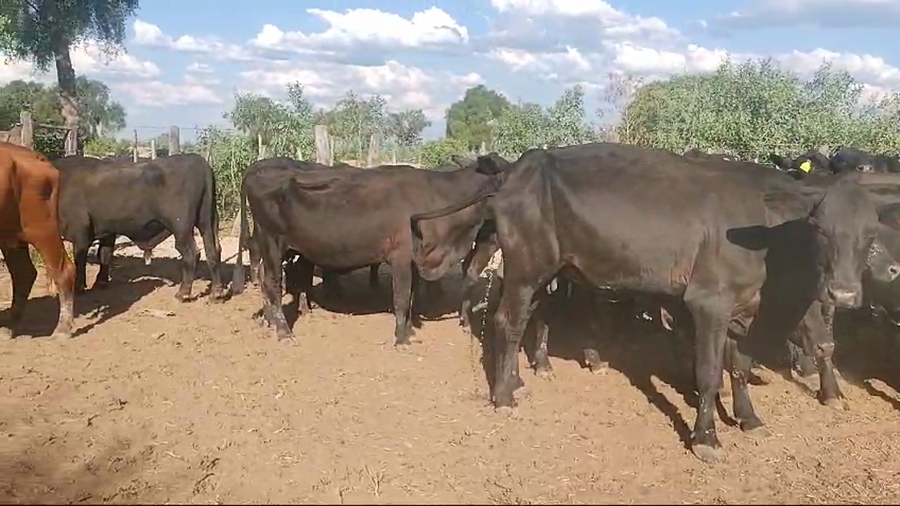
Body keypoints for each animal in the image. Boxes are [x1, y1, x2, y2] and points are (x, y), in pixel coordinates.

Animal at [0, 142, 76, 339]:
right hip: (10, 233)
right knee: (23, 273)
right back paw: (9, 326)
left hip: (41, 228)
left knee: (63, 270)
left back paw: (63, 328)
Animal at [52, 154, 224, 302]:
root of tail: (198, 160)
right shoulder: (107, 231)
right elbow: (104, 255)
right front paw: (100, 282)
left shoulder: (80, 233)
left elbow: (79, 261)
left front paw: (79, 287)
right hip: (207, 221)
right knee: (213, 250)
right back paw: (217, 292)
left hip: (181, 228)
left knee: (191, 253)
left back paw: (183, 293)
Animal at [246, 158, 505, 346]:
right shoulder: (400, 257)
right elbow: (401, 298)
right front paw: (401, 339)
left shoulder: (413, 261)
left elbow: (411, 297)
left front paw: (408, 331)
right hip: (272, 243)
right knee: (272, 284)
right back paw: (283, 331)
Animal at [410, 142, 900, 463]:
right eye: (819, 228)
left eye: (870, 234)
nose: (844, 293)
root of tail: (517, 170)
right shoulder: (708, 302)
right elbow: (709, 373)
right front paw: (706, 438)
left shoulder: (742, 309)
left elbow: (739, 366)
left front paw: (748, 418)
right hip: (529, 265)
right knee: (507, 321)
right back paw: (503, 394)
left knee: (520, 317)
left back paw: (518, 378)